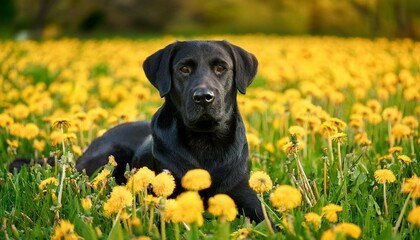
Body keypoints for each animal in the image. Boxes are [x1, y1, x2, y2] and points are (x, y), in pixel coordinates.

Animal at [13, 40, 266, 223]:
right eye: (184, 69)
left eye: (221, 68)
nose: (204, 97)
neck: (205, 141)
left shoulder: (247, 198)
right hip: (107, 157)